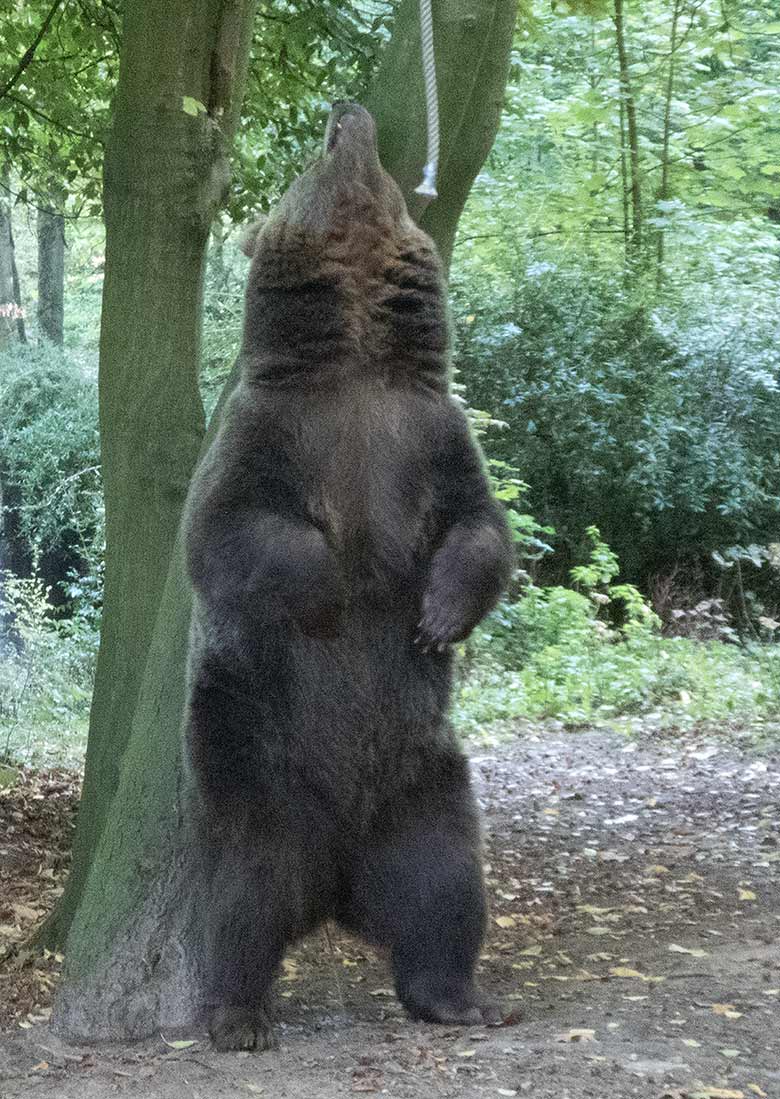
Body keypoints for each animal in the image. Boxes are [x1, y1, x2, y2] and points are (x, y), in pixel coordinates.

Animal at [181, 104, 514, 1055]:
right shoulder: (271, 432)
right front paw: (329, 590)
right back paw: (237, 1012)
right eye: (317, 154)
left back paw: (460, 995)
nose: (348, 111)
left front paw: (439, 613)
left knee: (444, 884)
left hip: (423, 781)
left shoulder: (430, 435)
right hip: (253, 757)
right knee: (244, 889)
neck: (360, 362)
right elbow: (227, 530)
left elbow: (481, 528)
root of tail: (335, 885)